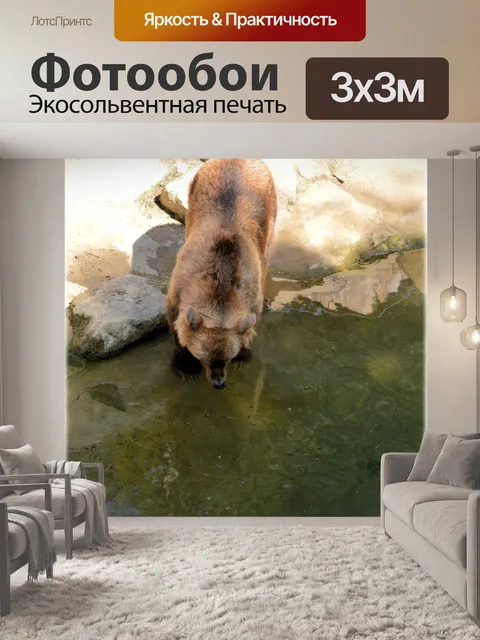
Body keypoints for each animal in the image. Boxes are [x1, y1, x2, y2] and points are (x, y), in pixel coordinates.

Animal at [166, 158, 277, 390]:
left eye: (228, 358)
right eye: (204, 358)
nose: (219, 383)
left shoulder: (250, 288)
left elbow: (251, 321)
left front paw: (244, 356)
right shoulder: (180, 288)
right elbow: (175, 322)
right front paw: (186, 368)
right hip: (194, 192)